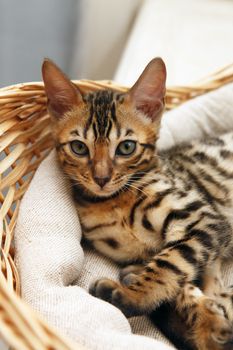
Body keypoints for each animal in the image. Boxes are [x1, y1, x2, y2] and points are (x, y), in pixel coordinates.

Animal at [42, 58, 233, 350]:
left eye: (126, 147)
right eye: (78, 147)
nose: (101, 178)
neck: (113, 203)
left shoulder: (205, 220)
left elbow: (171, 262)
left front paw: (132, 295)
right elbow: (183, 283)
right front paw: (207, 324)